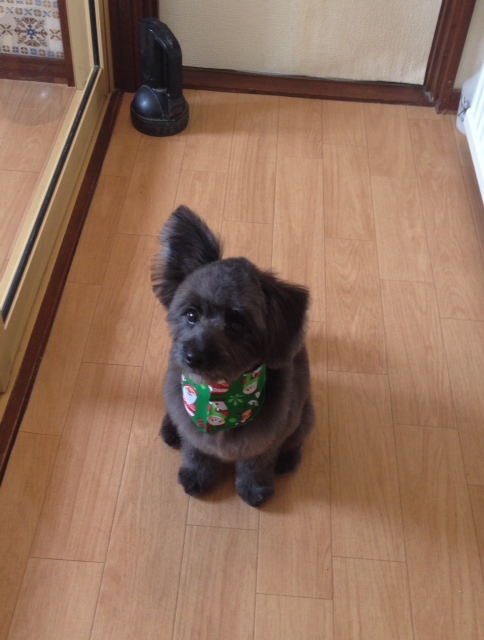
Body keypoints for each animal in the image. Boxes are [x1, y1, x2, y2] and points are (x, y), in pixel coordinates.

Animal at [151, 206, 314, 507]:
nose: (193, 356)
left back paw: (288, 459)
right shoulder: (193, 431)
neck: (221, 397)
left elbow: (256, 465)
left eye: (237, 325)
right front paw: (197, 476)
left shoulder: (266, 441)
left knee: (297, 437)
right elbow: (195, 452)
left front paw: (255, 489)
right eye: (191, 314)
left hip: (305, 412)